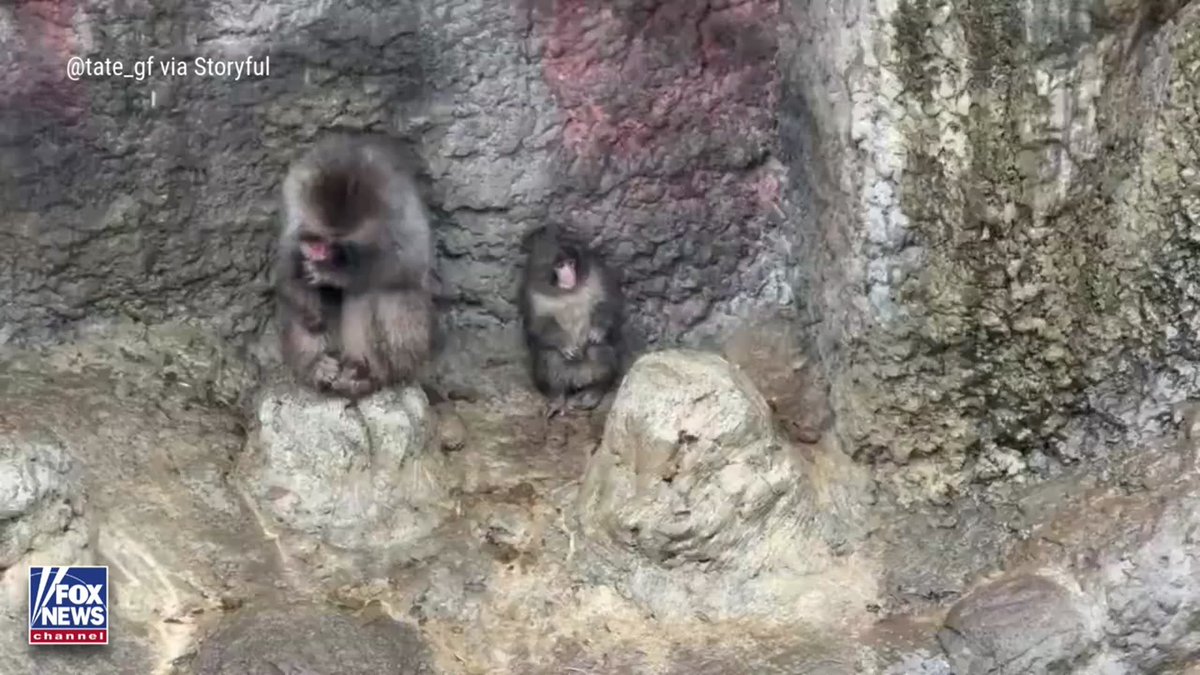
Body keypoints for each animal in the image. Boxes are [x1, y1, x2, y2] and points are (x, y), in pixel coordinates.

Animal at [275, 133, 435, 399]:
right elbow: (287, 270)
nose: (319, 254)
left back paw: (367, 376)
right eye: (318, 239)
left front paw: (336, 273)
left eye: (340, 244)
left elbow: (410, 261)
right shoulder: (294, 207)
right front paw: (311, 310)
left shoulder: (399, 205)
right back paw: (317, 367)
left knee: (381, 293)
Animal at [519, 226, 624, 418]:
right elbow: (538, 324)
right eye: (560, 266)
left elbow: (609, 302)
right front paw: (565, 344)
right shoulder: (531, 290)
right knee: (550, 356)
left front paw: (597, 331)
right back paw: (557, 397)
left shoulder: (596, 271)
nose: (569, 275)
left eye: (571, 262)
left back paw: (594, 391)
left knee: (598, 350)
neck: (564, 290)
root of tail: (577, 380)